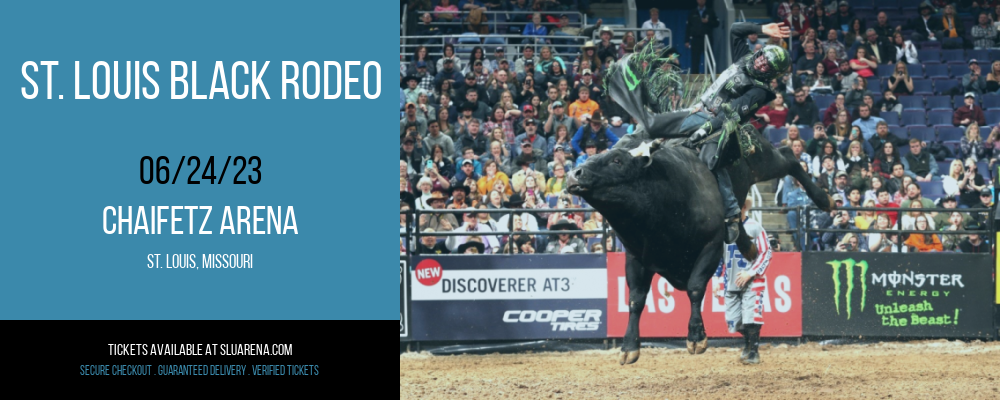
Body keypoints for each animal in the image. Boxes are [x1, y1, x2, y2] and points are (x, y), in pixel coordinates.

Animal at [568, 119, 832, 366]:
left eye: (617, 160)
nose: (574, 174)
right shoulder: (636, 258)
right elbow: (635, 299)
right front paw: (629, 347)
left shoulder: (711, 246)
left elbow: (695, 288)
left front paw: (696, 337)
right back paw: (748, 246)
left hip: (762, 160)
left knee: (788, 156)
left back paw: (824, 199)